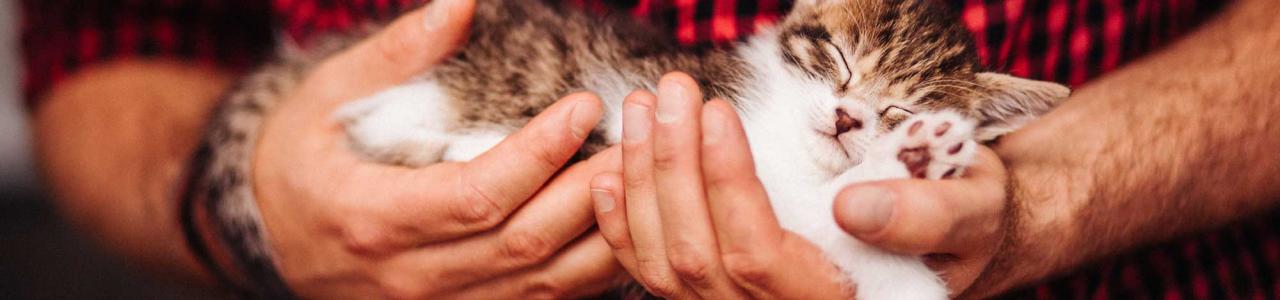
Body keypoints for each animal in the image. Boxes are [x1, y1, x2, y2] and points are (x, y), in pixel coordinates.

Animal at [197, 0, 1070, 297]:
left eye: (898, 106)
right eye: (840, 60)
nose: (851, 121)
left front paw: (915, 161)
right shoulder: (723, 126)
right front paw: (912, 163)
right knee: (384, 121)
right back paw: (465, 144)